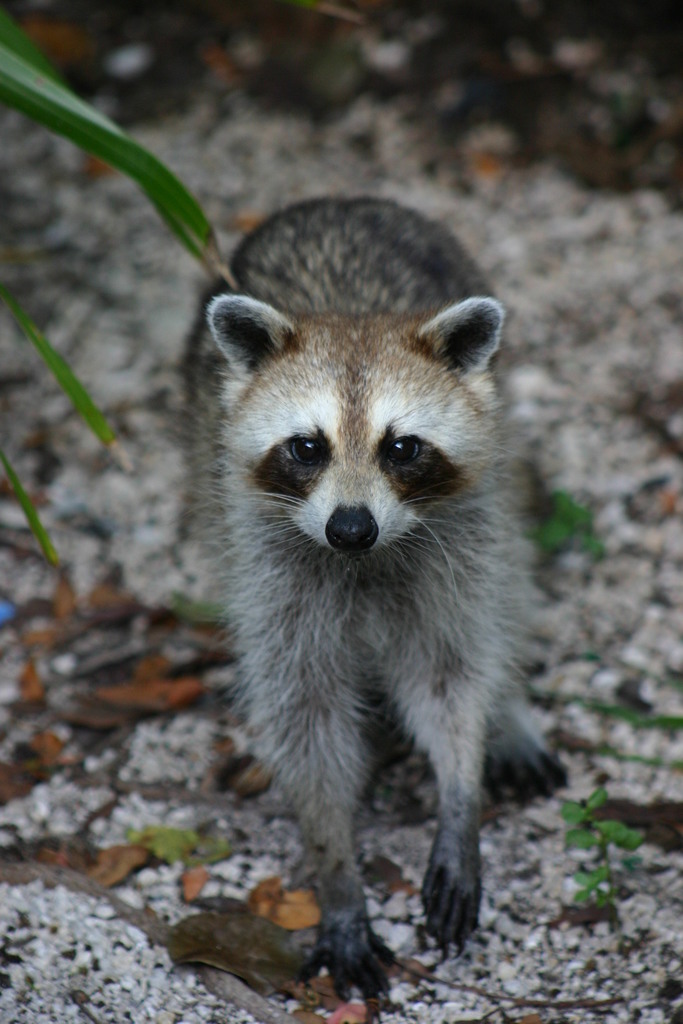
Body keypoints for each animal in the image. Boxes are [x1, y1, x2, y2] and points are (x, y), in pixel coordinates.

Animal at [183, 198, 565, 1000]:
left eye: (401, 447)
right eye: (307, 447)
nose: (350, 527)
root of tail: (342, 200)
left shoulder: (458, 544)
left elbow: (450, 678)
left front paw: (461, 790)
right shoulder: (274, 573)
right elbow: (306, 718)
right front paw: (336, 869)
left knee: (511, 578)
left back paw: (509, 710)